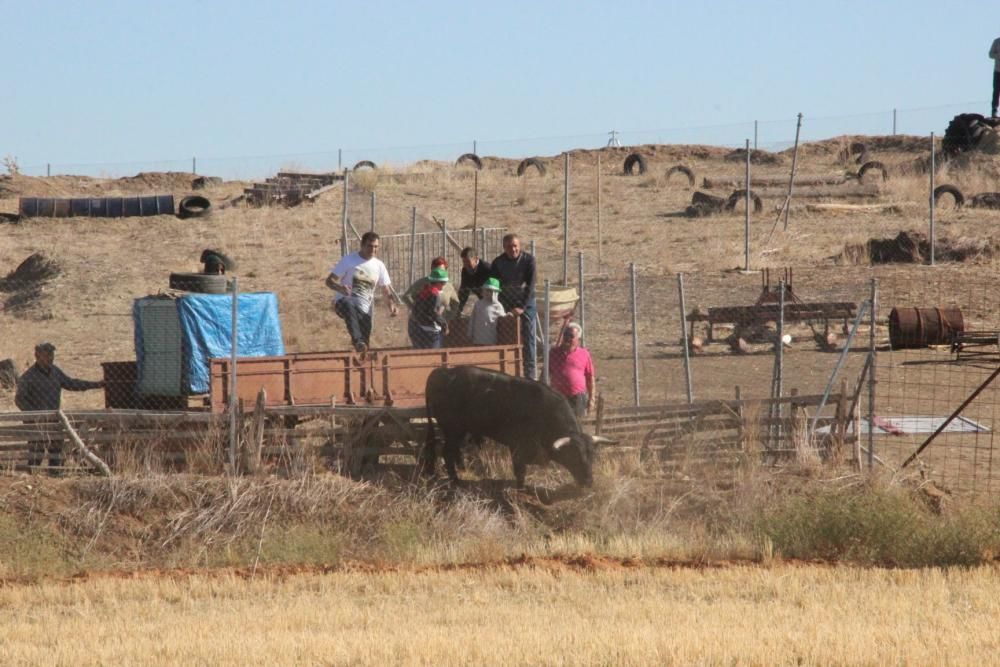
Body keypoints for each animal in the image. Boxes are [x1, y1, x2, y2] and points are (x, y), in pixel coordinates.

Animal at [422, 368, 608, 488]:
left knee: (454, 450)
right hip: (452, 429)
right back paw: (455, 481)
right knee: (447, 452)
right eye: (574, 456)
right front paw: (521, 490)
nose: (588, 482)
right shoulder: (517, 448)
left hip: (460, 430)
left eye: (592, 456)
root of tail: (440, 373)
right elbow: (520, 472)